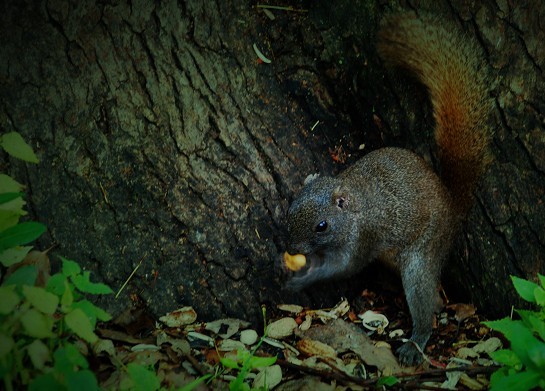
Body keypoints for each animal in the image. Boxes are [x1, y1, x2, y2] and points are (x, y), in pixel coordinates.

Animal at [282, 13, 490, 368]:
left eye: (322, 226)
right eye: (291, 207)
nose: (292, 247)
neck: (355, 205)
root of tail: (452, 204)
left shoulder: (363, 238)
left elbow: (341, 268)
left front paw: (303, 276)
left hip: (424, 253)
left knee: (425, 300)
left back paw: (416, 341)